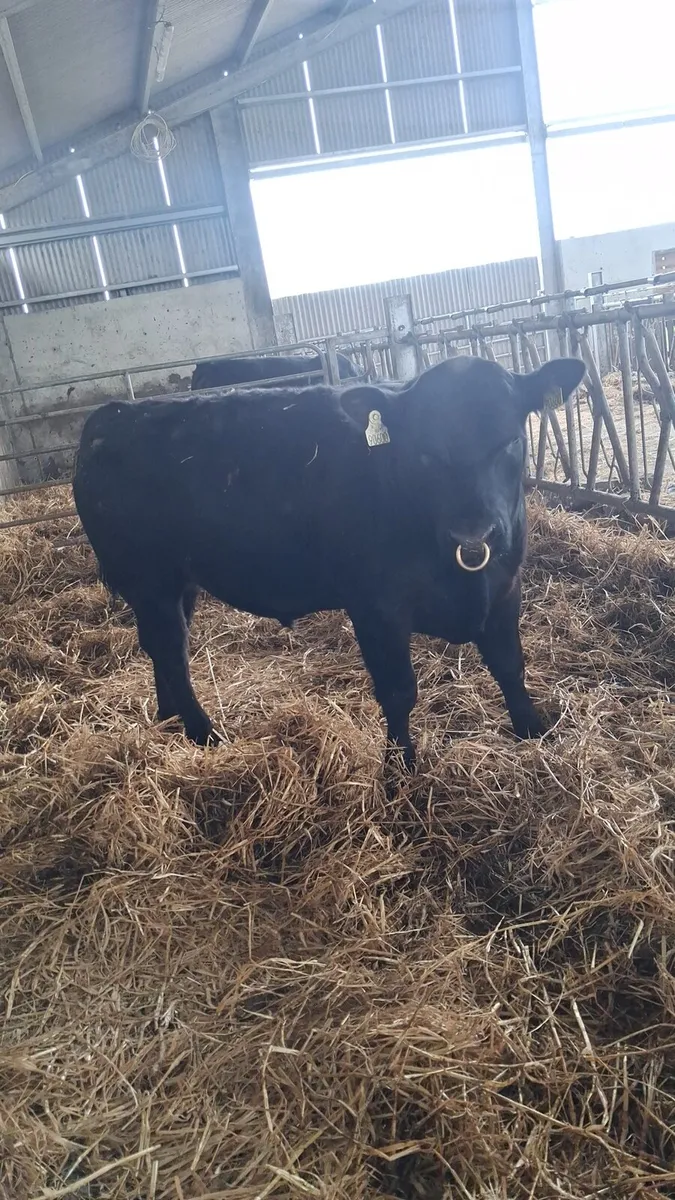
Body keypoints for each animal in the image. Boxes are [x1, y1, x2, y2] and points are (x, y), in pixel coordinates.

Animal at [72, 354, 584, 769]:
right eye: (423, 452)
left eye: (511, 439)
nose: (472, 535)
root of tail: (112, 415)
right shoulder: (376, 606)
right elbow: (399, 690)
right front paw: (400, 767)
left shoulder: (506, 585)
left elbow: (509, 665)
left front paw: (533, 731)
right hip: (149, 580)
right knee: (170, 648)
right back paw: (203, 732)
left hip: (180, 581)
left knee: (163, 647)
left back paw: (169, 719)